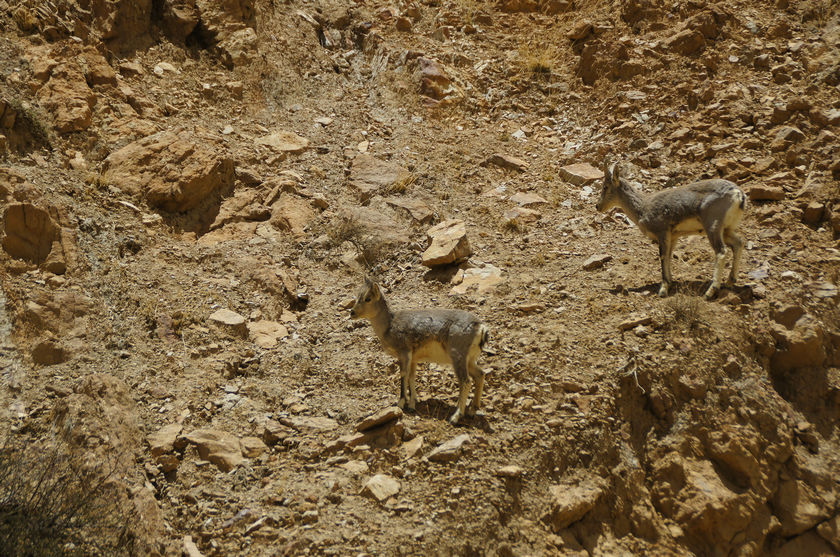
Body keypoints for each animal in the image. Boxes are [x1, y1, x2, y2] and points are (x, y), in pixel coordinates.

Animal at [350, 278, 488, 426]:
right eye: (357, 295)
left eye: (368, 298)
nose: (352, 313)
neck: (388, 327)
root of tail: (481, 328)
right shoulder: (414, 359)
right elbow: (411, 377)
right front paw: (412, 404)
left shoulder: (404, 353)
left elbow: (403, 375)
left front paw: (400, 403)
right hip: (470, 360)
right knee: (480, 374)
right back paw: (472, 411)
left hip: (458, 357)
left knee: (466, 381)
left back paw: (455, 417)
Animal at [592, 161, 744, 300]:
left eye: (605, 186)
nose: (598, 206)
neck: (642, 208)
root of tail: (738, 194)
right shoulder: (674, 236)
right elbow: (669, 256)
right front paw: (670, 282)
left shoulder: (662, 232)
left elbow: (663, 256)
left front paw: (663, 289)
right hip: (726, 229)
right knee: (738, 243)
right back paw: (730, 282)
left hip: (713, 226)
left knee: (721, 251)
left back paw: (710, 291)